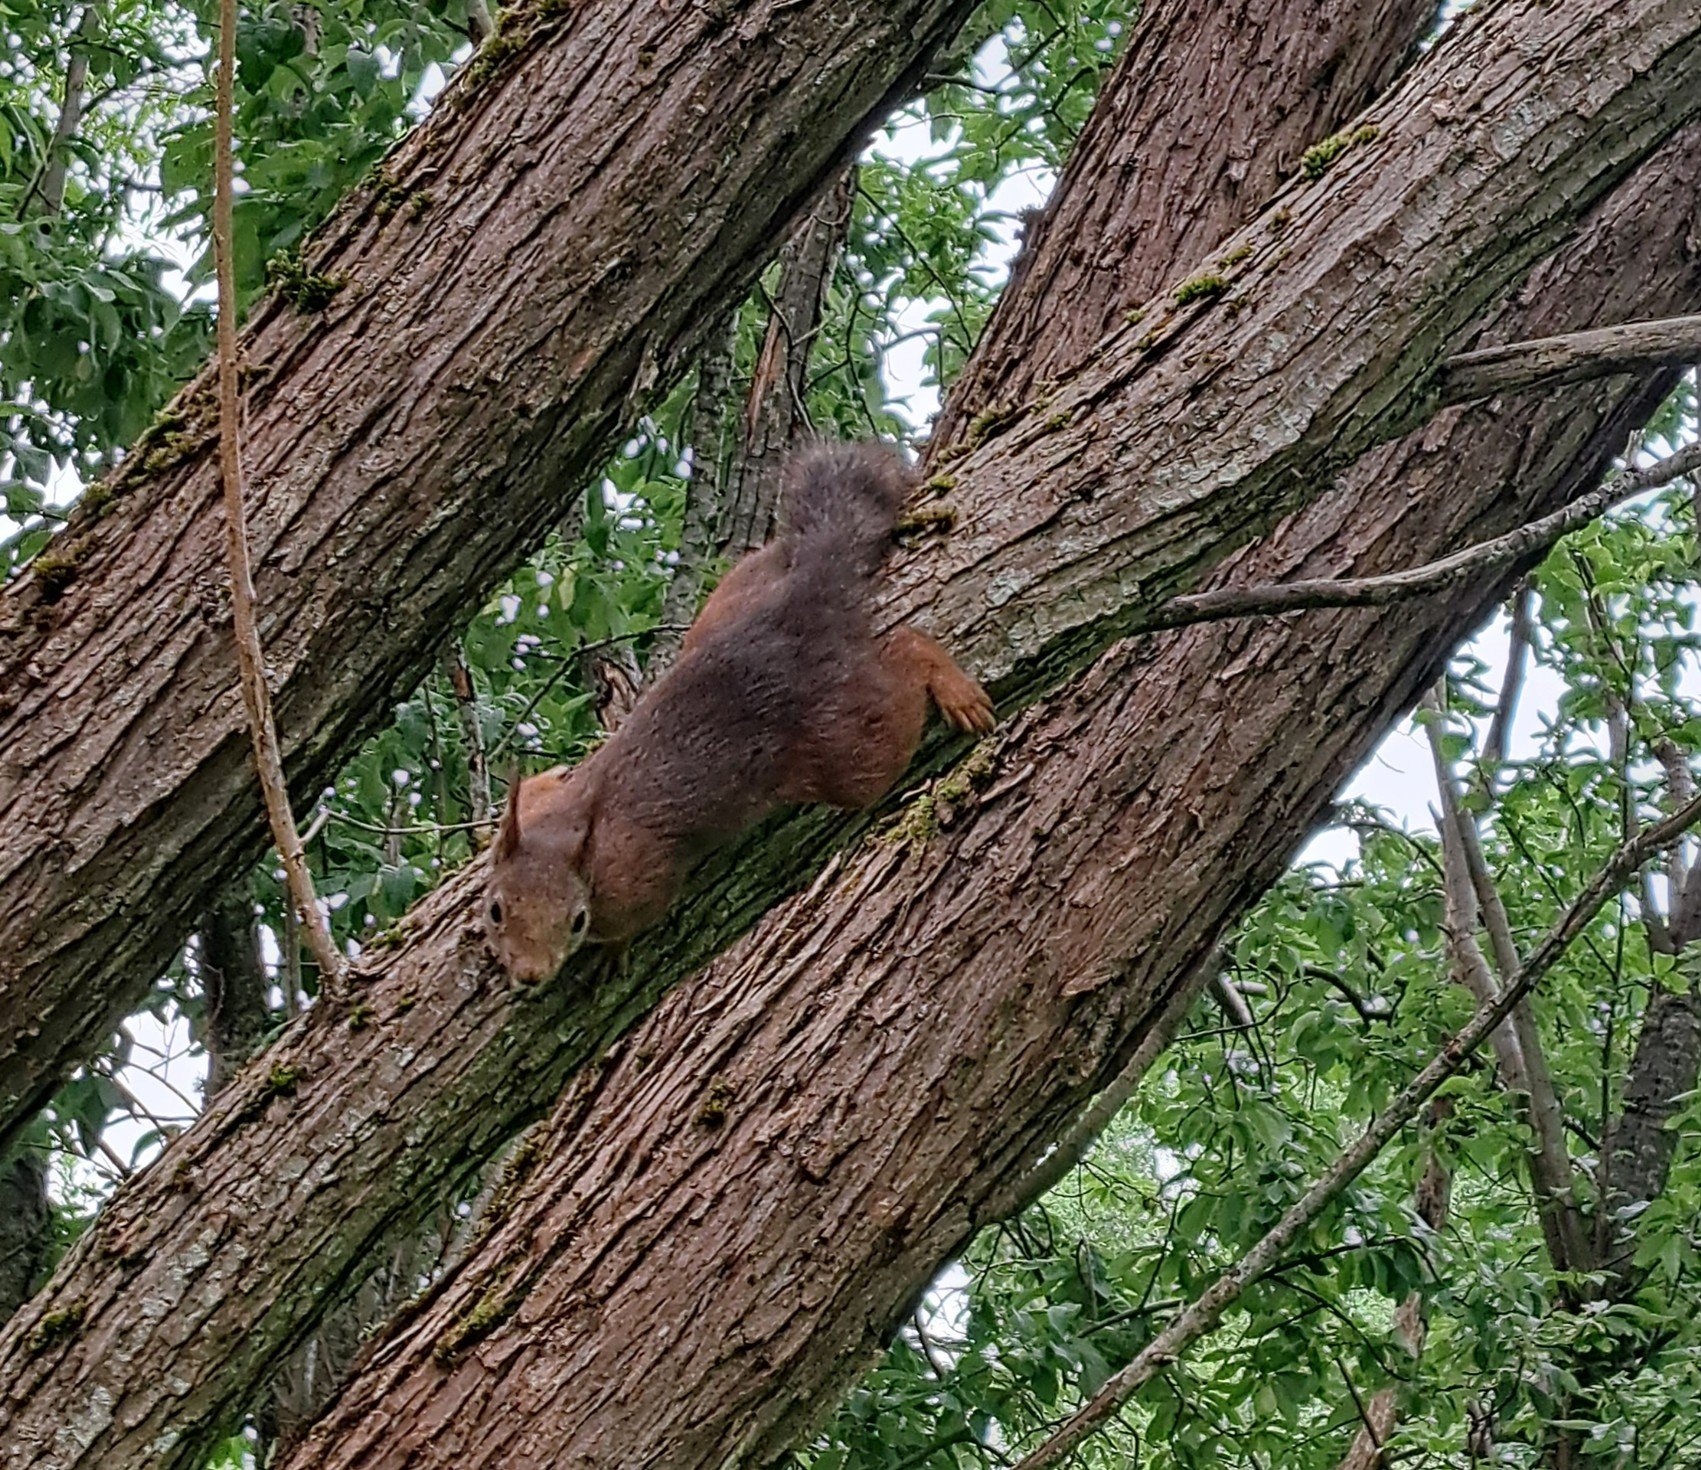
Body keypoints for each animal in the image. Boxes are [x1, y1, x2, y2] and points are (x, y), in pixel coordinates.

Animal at [486, 440, 994, 982]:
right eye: (496, 909)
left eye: (577, 920)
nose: (529, 974)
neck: (568, 831)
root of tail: (795, 610)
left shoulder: (641, 881)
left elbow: (642, 915)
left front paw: (613, 951)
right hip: (730, 599)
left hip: (844, 745)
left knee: (902, 659)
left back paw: (946, 681)